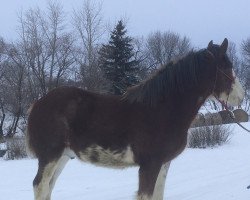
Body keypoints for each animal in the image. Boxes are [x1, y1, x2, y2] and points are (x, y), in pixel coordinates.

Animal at [25, 38, 244, 199]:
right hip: (50, 155)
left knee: (48, 186)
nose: (241, 97)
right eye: (227, 68)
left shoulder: (163, 164)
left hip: (62, 156)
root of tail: (37, 104)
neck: (163, 110)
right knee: (40, 185)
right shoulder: (149, 165)